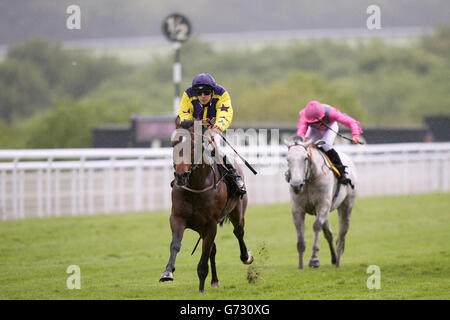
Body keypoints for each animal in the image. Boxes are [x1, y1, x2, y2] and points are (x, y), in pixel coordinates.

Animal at [160, 119, 253, 292]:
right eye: (173, 143)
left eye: (193, 145)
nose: (181, 176)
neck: (197, 186)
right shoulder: (177, 217)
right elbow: (175, 244)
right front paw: (168, 272)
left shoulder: (211, 223)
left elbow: (204, 254)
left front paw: (201, 286)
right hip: (201, 228)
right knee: (213, 249)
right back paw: (214, 280)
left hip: (237, 212)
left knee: (238, 232)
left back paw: (246, 257)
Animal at [286, 136, 356, 268]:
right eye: (288, 159)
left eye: (305, 158)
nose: (297, 185)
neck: (310, 179)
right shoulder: (297, 208)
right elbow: (300, 232)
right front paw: (300, 264)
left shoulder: (323, 204)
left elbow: (316, 226)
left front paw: (314, 259)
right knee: (329, 234)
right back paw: (334, 259)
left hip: (346, 205)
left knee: (342, 232)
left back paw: (338, 260)